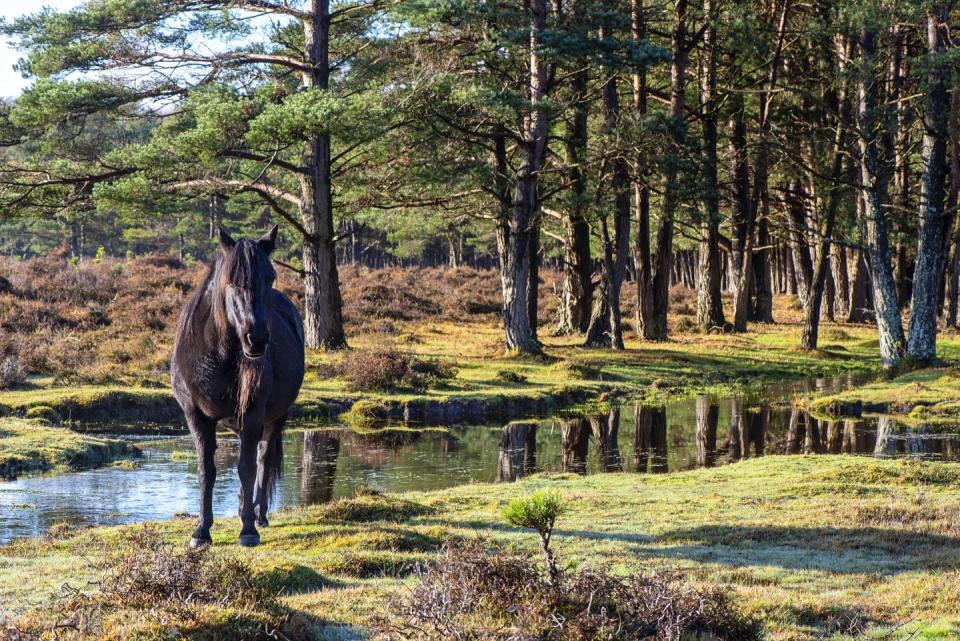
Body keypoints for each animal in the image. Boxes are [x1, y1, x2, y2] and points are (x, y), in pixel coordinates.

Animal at [172, 225, 304, 544]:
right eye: (231, 281)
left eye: (270, 277)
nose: (256, 340)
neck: (216, 358)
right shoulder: (195, 415)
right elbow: (206, 471)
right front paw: (201, 531)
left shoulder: (253, 415)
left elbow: (246, 468)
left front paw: (248, 530)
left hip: (276, 417)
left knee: (263, 460)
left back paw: (259, 514)